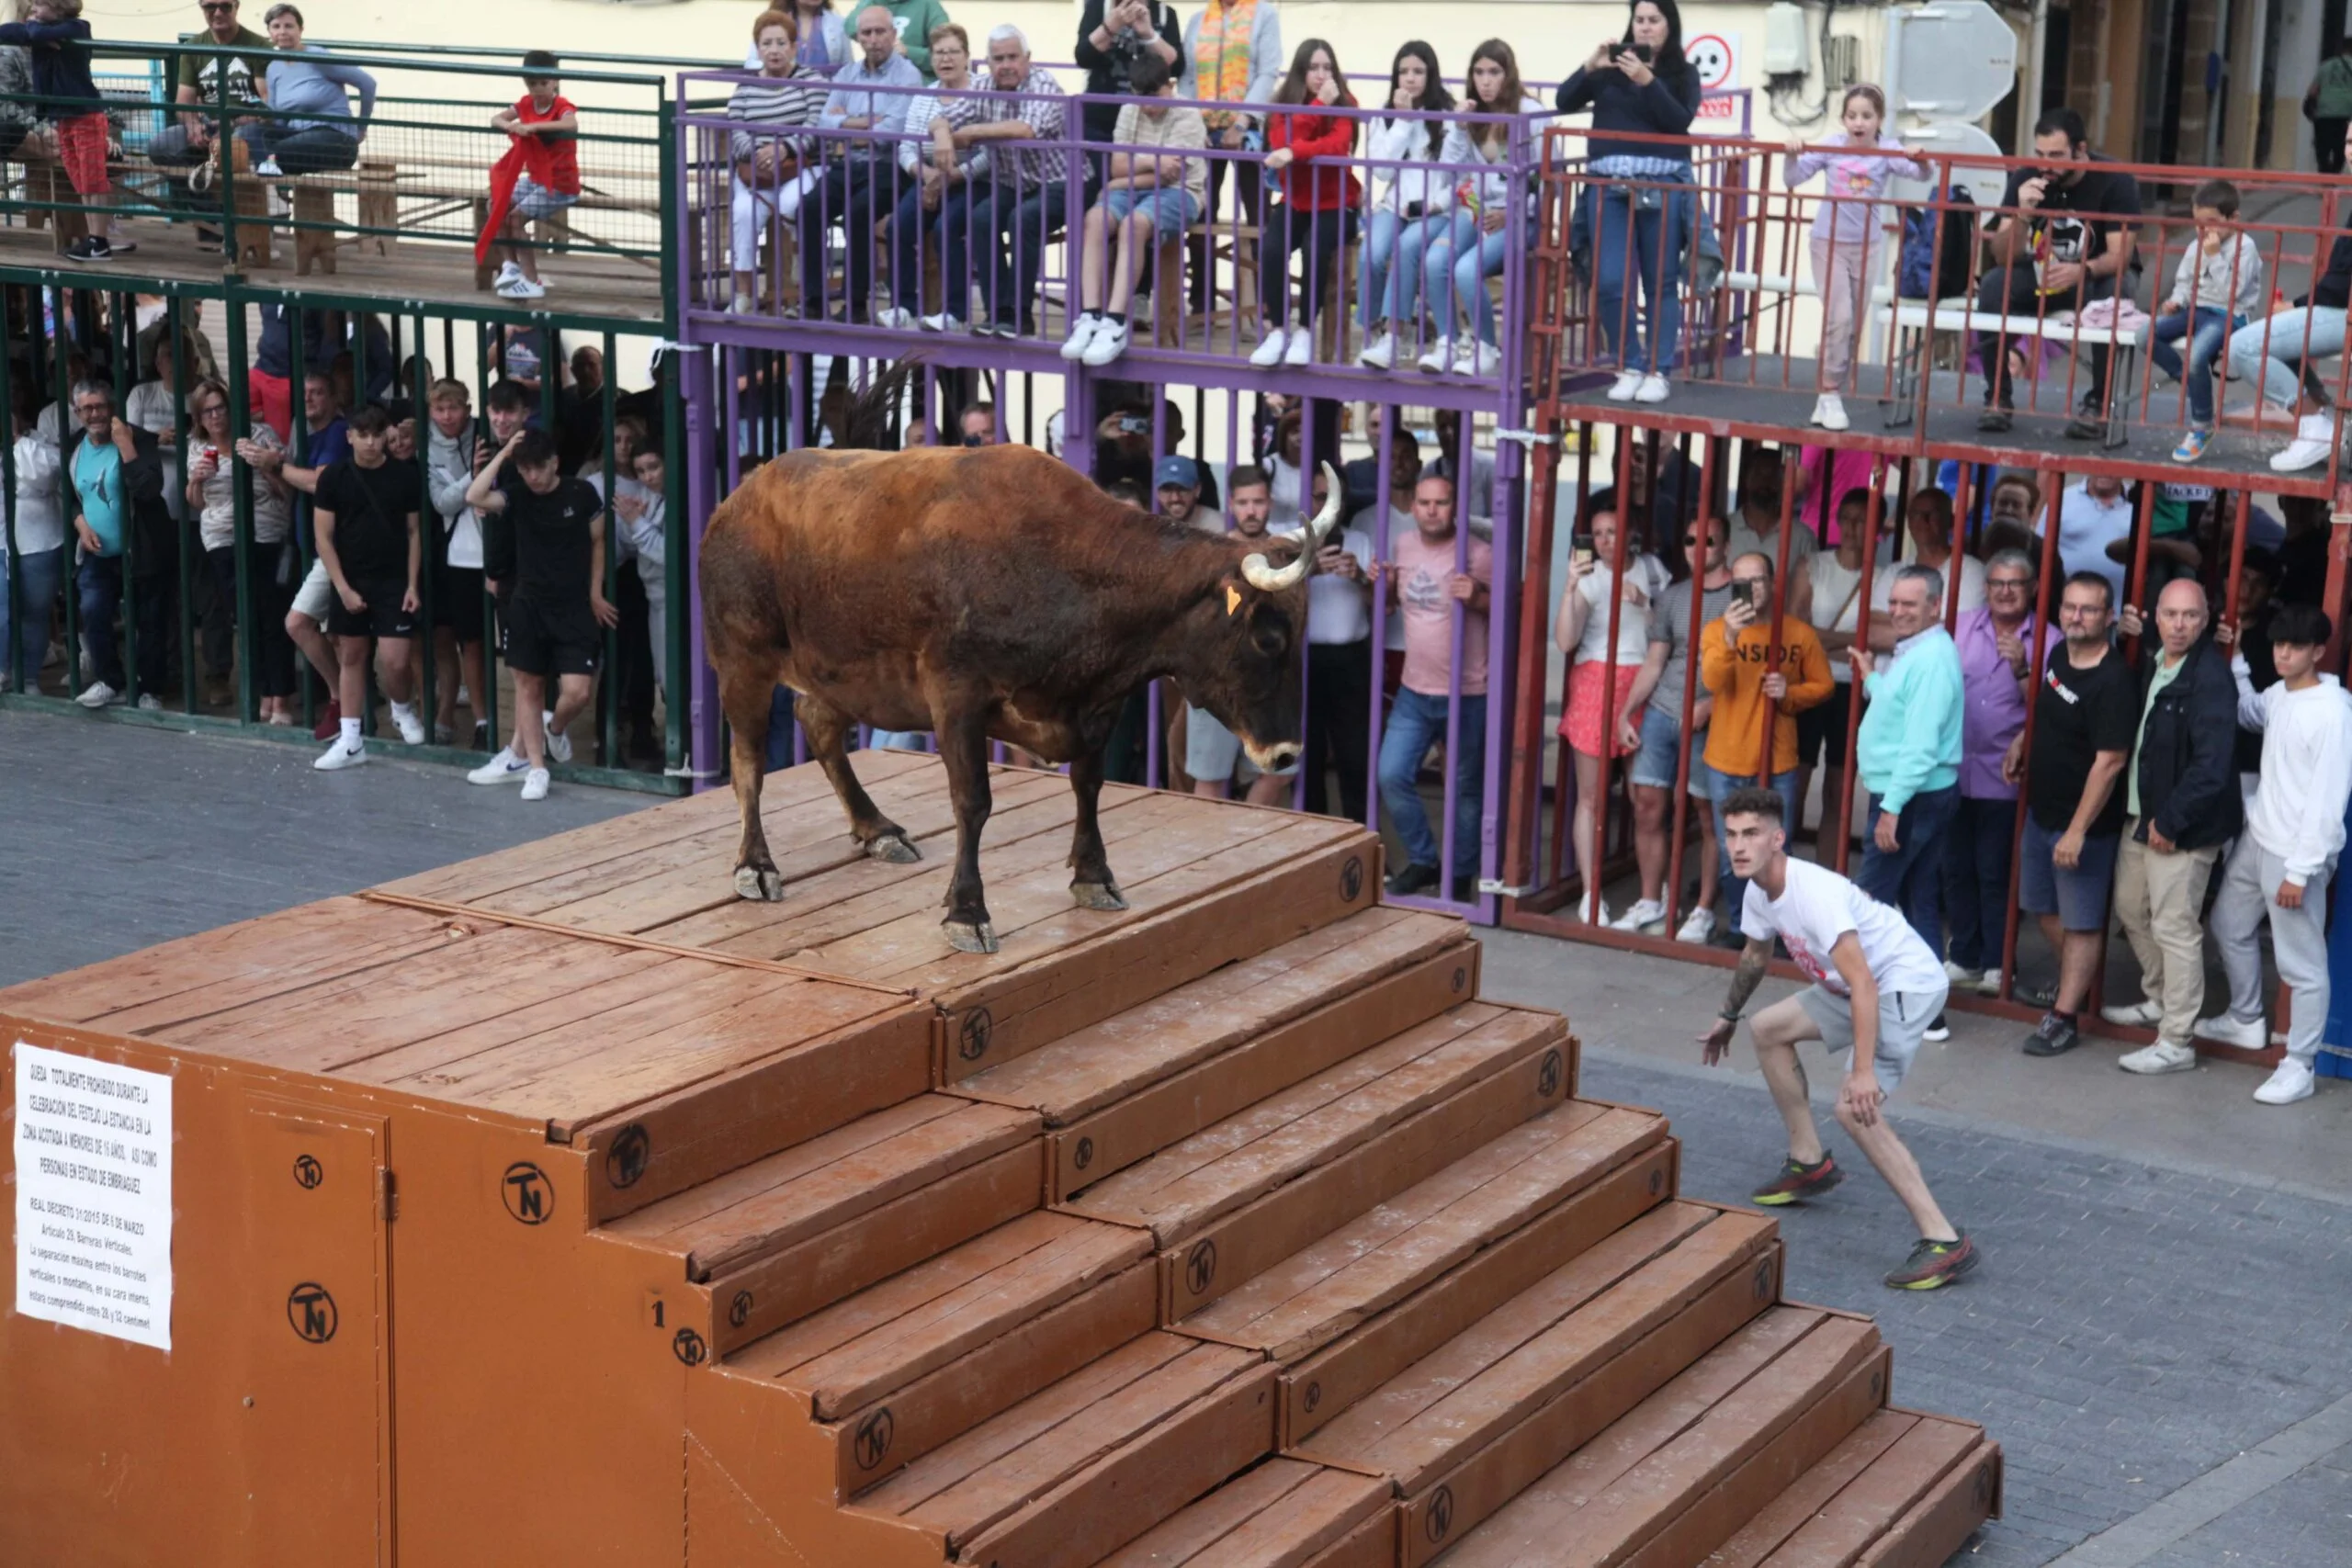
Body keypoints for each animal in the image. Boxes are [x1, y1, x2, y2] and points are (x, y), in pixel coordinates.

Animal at [695, 444, 1345, 959]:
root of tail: (737, 500)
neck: (1072, 572)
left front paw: (1094, 877)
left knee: (818, 724)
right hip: (743, 661)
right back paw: (756, 865)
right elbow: (973, 803)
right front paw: (967, 913)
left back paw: (877, 828)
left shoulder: (1098, 708)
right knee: (748, 761)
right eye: (1268, 638)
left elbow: (1088, 784)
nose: (1286, 755)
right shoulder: (956, 700)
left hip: (838, 673)